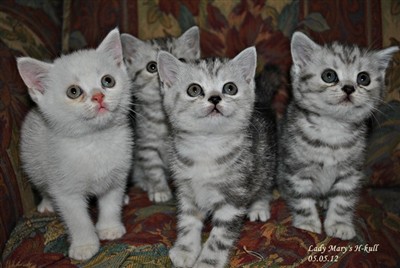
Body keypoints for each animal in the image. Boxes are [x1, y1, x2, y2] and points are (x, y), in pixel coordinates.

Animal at [17, 28, 133, 260]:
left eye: (107, 80)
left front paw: (109, 228)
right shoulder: (65, 189)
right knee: (43, 185)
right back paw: (46, 204)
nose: (98, 96)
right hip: (32, 161)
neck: (95, 140)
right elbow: (77, 219)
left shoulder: (117, 174)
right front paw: (85, 245)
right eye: (74, 91)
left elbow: (111, 202)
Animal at [158, 47, 276, 268]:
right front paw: (185, 250)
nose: (214, 98)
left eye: (230, 88)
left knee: (265, 184)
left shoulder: (234, 197)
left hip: (266, 158)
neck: (207, 146)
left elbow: (219, 238)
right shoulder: (186, 190)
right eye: (194, 90)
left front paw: (207, 262)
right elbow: (188, 221)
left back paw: (259, 206)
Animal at [278, 32, 400, 240]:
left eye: (363, 78)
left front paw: (339, 224)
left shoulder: (351, 171)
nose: (349, 88)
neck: (332, 129)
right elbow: (302, 198)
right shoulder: (297, 167)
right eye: (329, 75)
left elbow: (343, 200)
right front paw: (307, 223)